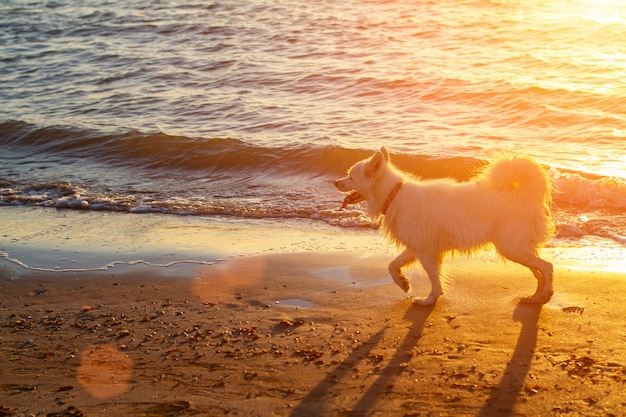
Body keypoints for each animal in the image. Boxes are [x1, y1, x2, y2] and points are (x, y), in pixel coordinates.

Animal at [334, 148, 552, 304]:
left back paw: (544, 294)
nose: (336, 182)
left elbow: (434, 279)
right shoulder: (416, 247)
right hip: (516, 249)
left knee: (547, 267)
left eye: (351, 177)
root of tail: (526, 196)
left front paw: (429, 300)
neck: (393, 194)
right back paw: (536, 297)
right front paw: (403, 282)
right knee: (538, 271)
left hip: (511, 247)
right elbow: (392, 265)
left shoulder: (426, 252)